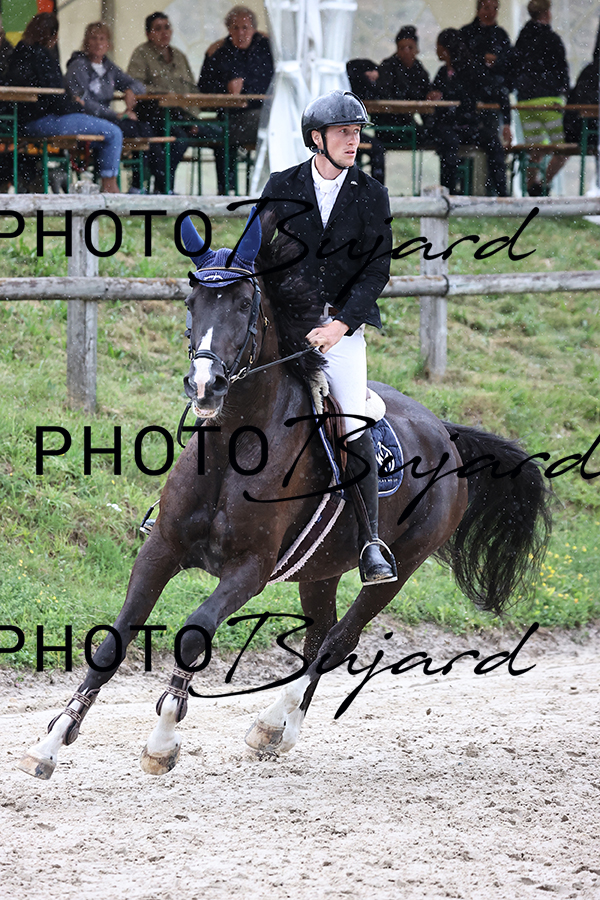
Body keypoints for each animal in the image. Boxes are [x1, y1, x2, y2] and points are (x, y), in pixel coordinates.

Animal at [18, 211, 551, 780]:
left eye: (244, 304)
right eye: (192, 303)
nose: (205, 386)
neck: (232, 448)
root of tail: (446, 434)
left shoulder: (248, 570)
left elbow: (193, 634)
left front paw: (163, 740)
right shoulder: (160, 550)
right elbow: (112, 644)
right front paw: (50, 743)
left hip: (399, 568)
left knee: (339, 641)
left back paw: (274, 723)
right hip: (320, 570)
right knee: (321, 634)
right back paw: (277, 729)